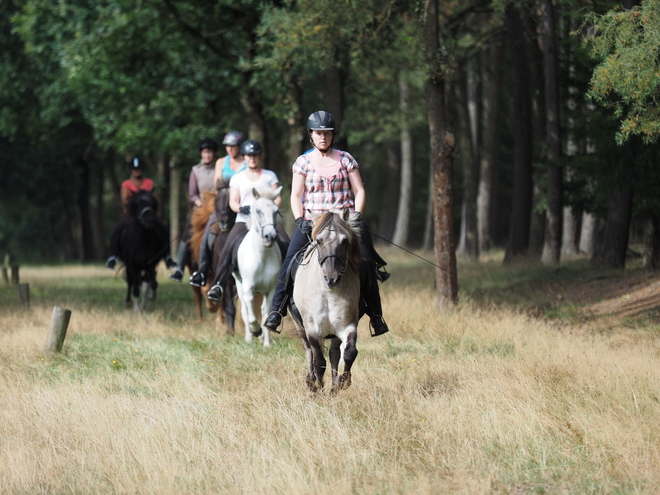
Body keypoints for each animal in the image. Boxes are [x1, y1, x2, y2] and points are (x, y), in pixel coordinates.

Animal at [233, 188, 282, 346]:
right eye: (258, 211)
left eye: (276, 211)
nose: (270, 236)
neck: (262, 256)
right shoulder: (248, 289)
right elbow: (252, 317)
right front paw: (256, 331)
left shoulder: (270, 290)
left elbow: (266, 313)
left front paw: (266, 343)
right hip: (239, 284)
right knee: (245, 312)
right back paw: (249, 338)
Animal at [290, 209, 364, 396]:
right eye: (319, 240)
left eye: (344, 241)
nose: (332, 278)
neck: (327, 292)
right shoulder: (312, 329)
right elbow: (318, 362)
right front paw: (318, 389)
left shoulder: (347, 325)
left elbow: (349, 353)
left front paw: (342, 382)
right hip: (301, 326)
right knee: (309, 351)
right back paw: (311, 383)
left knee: (334, 353)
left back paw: (332, 387)